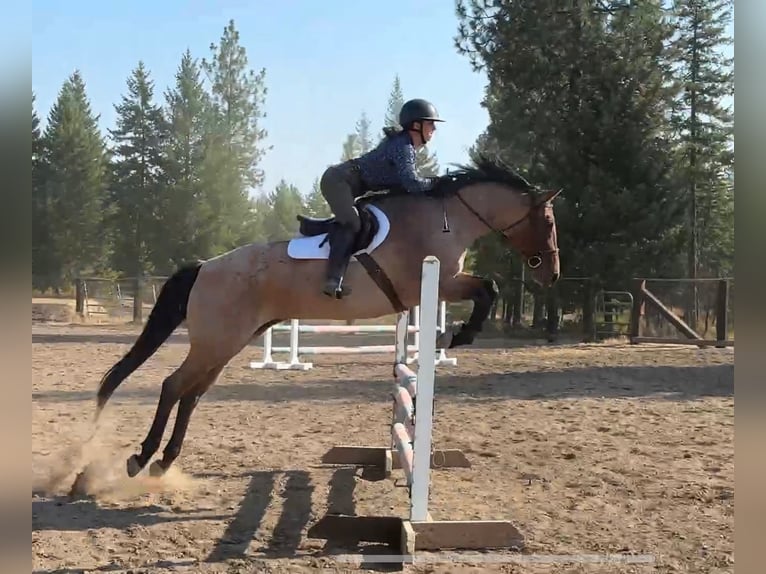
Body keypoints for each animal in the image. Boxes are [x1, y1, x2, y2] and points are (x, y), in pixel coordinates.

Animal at [93, 153, 562, 478]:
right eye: (549, 221)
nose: (551, 273)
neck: (446, 218)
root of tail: (205, 266)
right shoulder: (440, 282)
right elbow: (488, 290)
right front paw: (457, 336)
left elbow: (488, 289)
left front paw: (456, 336)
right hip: (215, 342)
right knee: (173, 387)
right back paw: (142, 457)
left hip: (225, 344)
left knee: (191, 394)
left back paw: (165, 460)